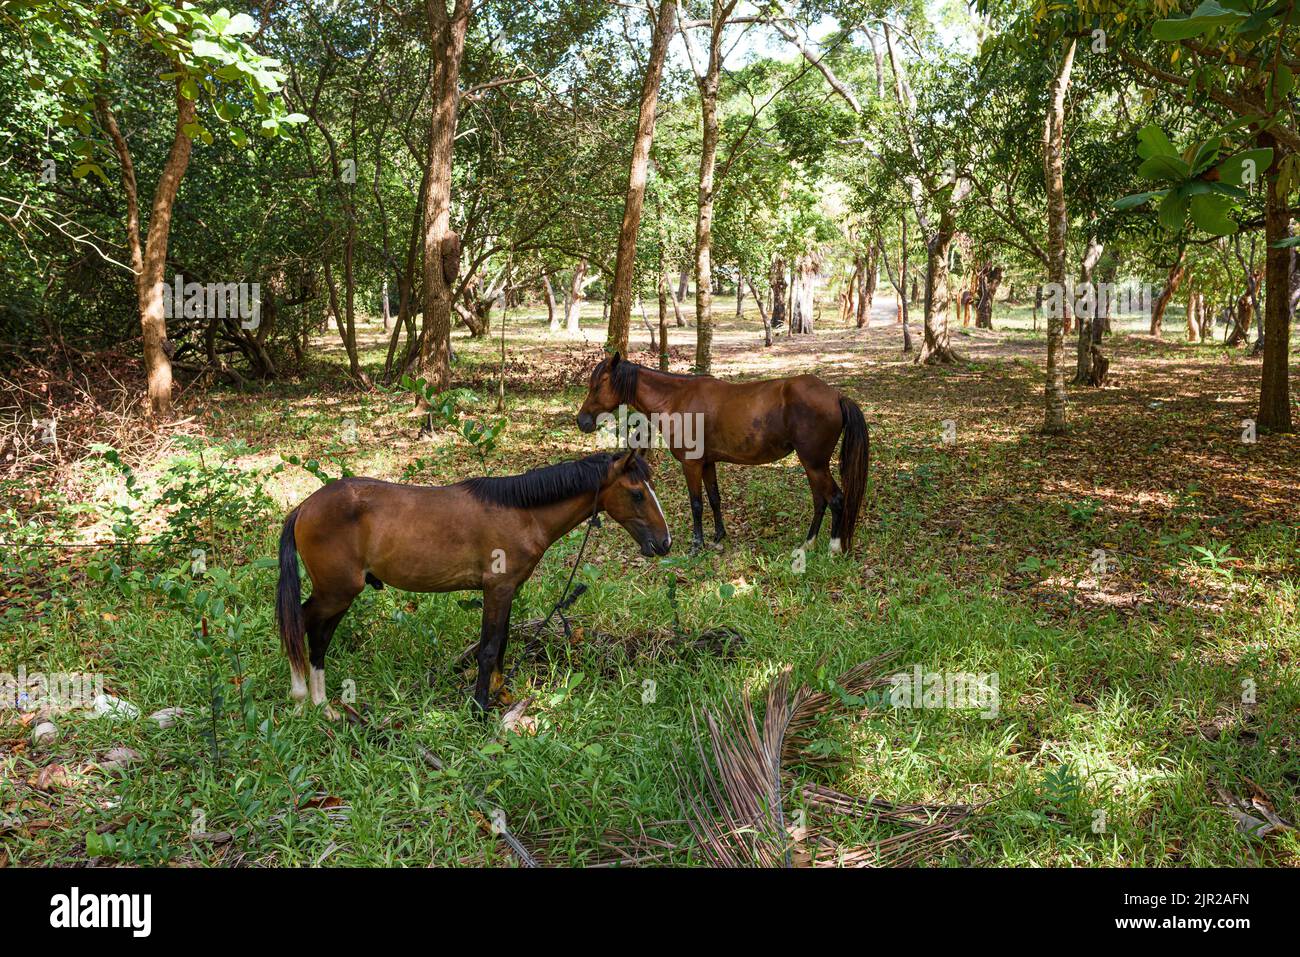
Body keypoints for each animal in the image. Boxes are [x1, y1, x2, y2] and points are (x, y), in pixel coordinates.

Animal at [269, 452, 665, 712]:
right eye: (637, 493)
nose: (664, 543)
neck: (521, 513)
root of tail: (304, 507)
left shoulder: (508, 591)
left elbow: (501, 643)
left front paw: (500, 696)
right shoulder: (497, 589)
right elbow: (488, 649)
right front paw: (478, 707)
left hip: (338, 593)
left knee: (316, 634)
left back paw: (322, 704)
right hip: (336, 592)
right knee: (301, 624)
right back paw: (302, 697)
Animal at [577, 356, 863, 553]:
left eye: (598, 385)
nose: (582, 421)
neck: (676, 399)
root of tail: (836, 396)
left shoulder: (691, 465)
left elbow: (696, 504)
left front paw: (697, 545)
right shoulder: (707, 463)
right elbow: (715, 499)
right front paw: (718, 536)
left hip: (814, 464)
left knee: (835, 499)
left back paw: (833, 549)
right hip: (813, 465)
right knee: (820, 501)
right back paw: (808, 544)